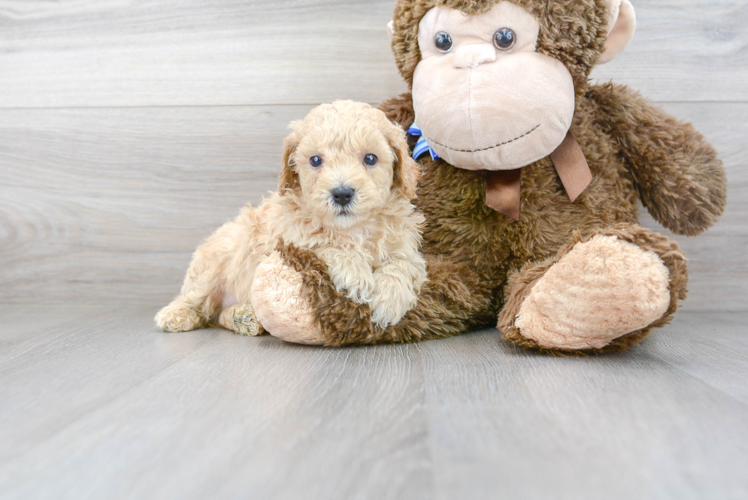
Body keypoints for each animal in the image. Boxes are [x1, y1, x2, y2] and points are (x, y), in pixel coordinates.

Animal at [153, 100, 426, 336]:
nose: (341, 193)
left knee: (219, 316)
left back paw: (244, 317)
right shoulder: (289, 238)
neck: (352, 229)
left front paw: (389, 300)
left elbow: (402, 264)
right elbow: (326, 243)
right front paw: (355, 275)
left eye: (370, 158)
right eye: (315, 160)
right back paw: (176, 315)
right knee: (196, 298)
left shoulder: (405, 247)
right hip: (215, 261)